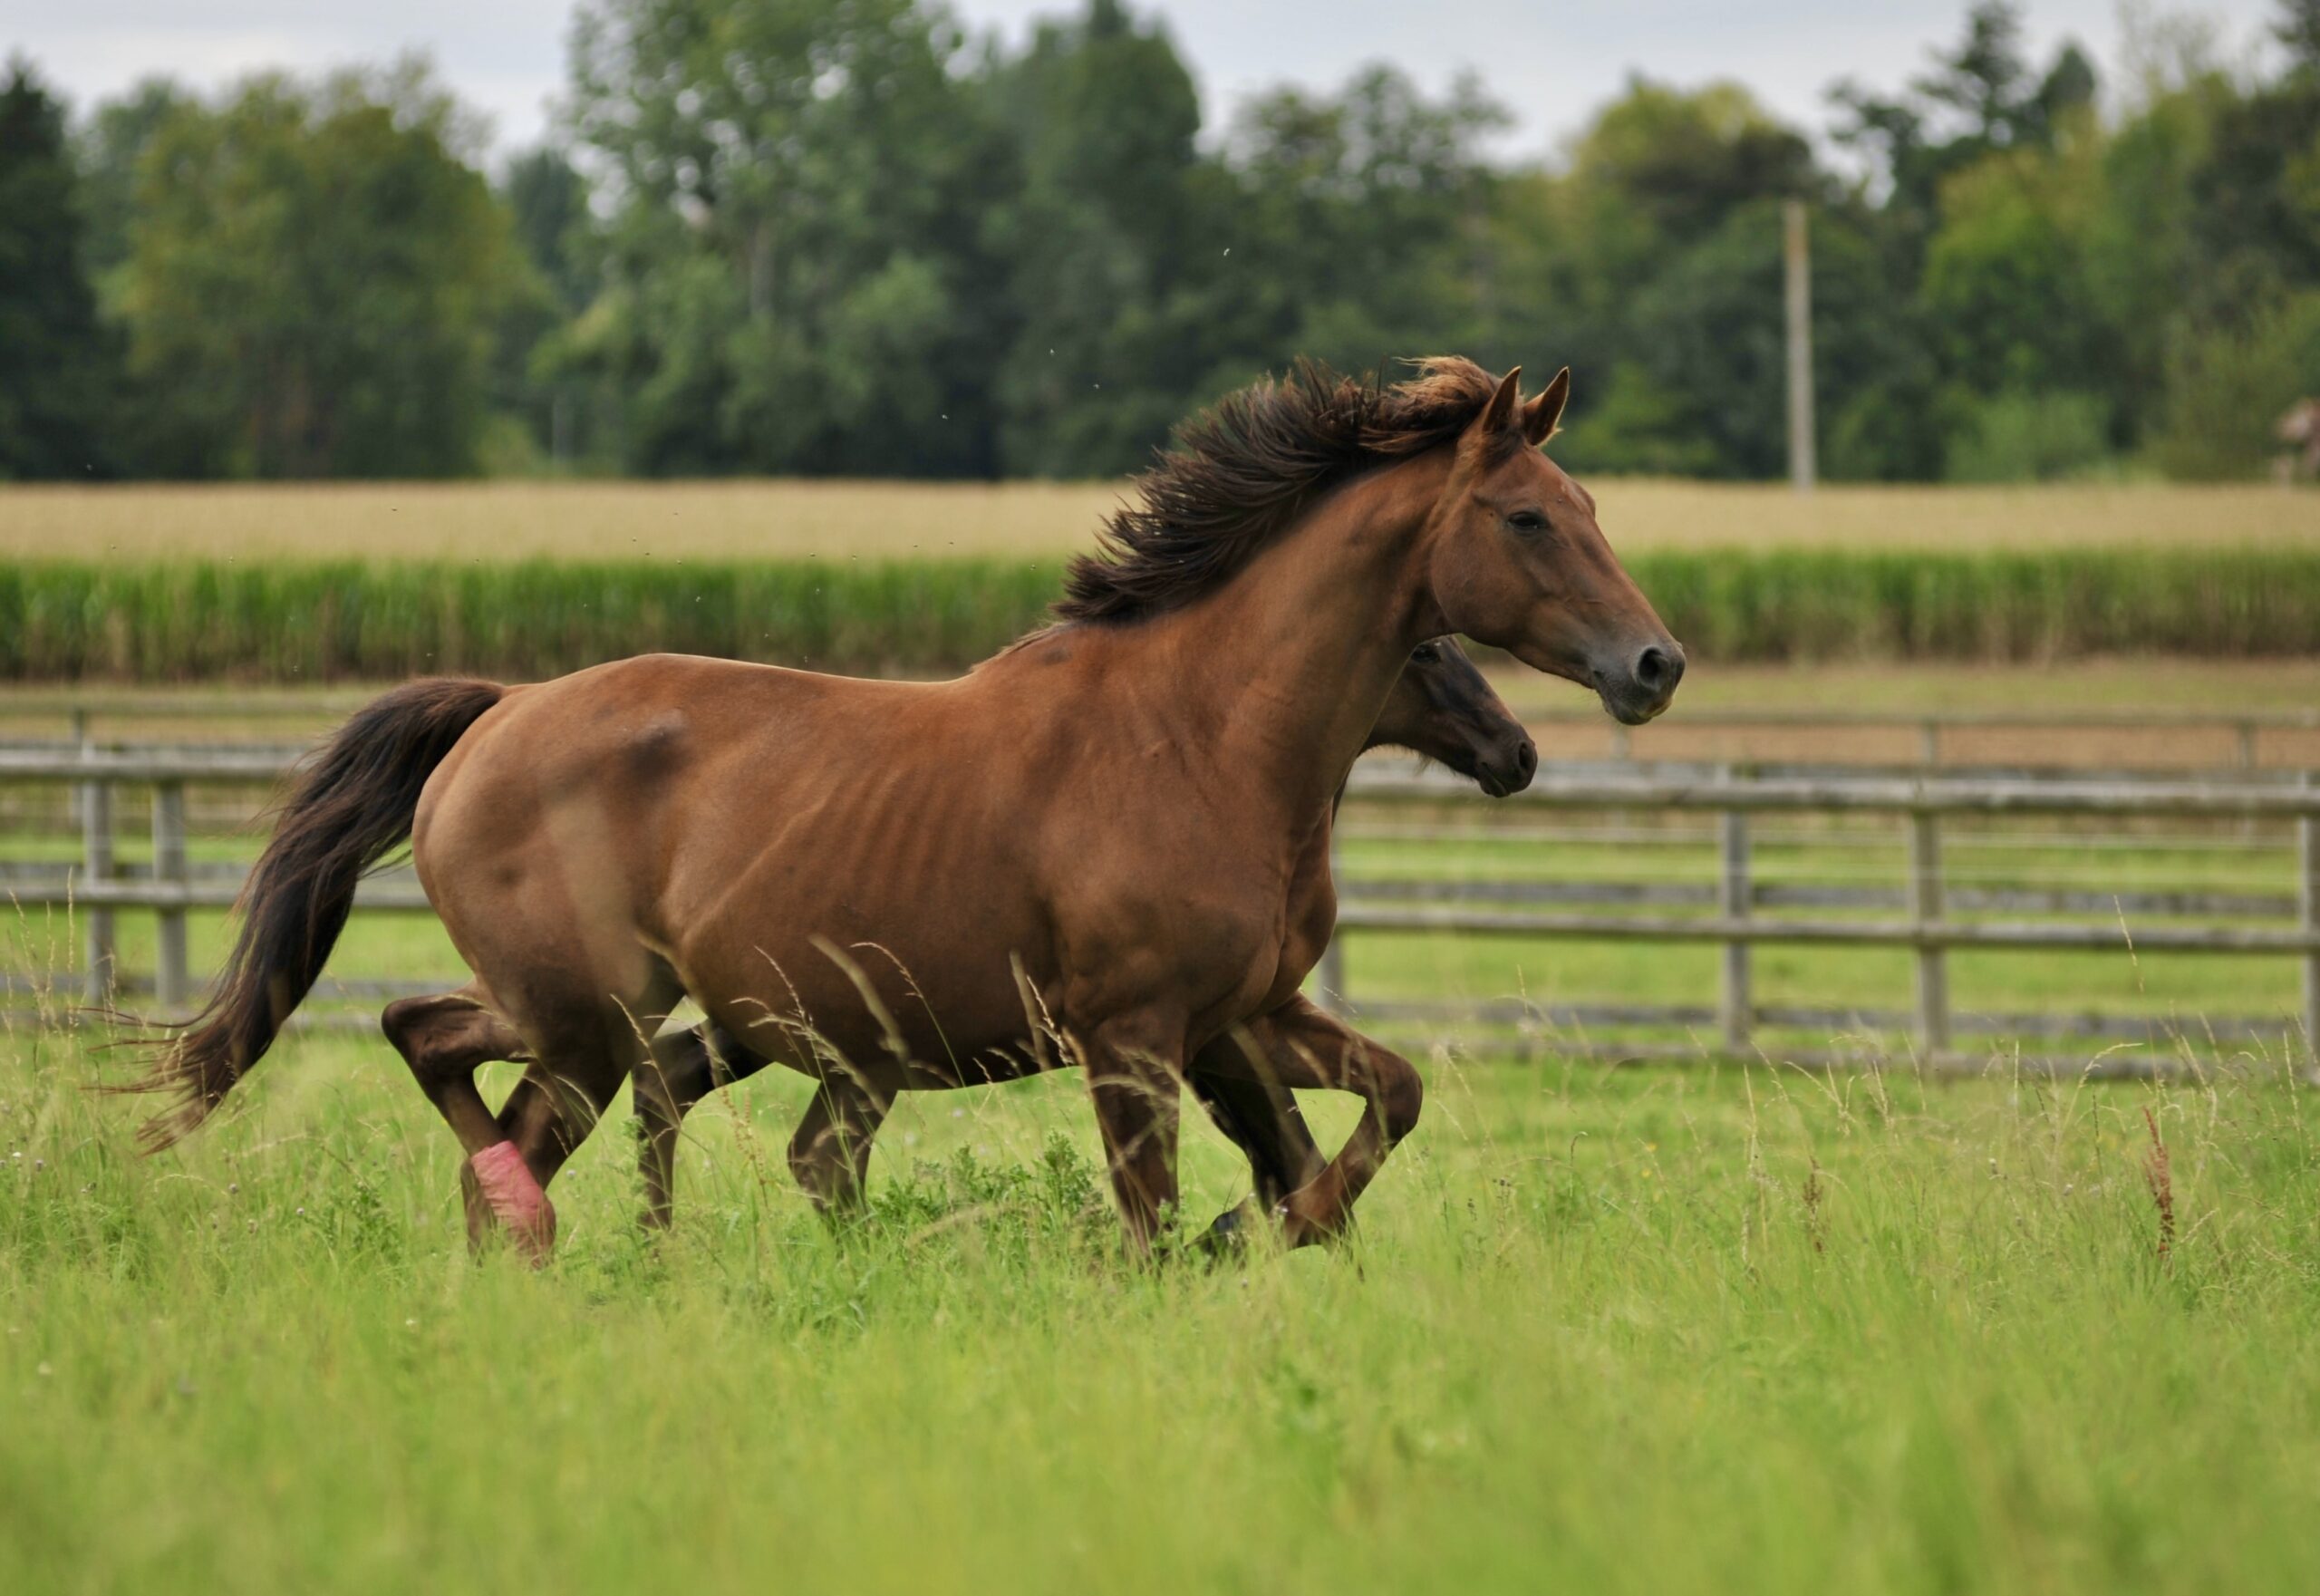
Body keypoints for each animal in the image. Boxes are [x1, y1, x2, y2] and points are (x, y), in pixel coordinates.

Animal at [631, 635, 1540, 1233]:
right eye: (1427, 652)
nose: (1518, 749)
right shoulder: (1177, 1029)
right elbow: (1272, 1159)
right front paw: (1242, 1238)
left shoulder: (1236, 1024)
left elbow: (1319, 1136)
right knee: (788, 1141)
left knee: (705, 1096)